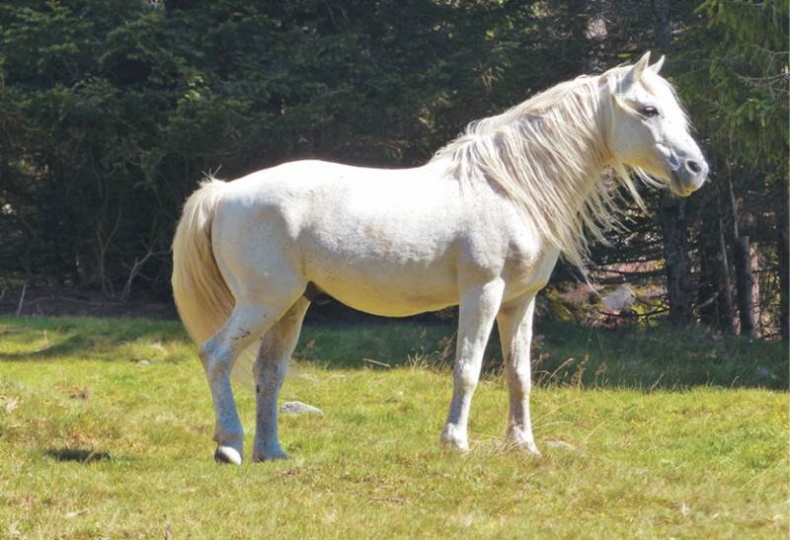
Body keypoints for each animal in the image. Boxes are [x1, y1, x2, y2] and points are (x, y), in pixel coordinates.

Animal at [172, 52, 708, 464]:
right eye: (648, 109)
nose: (696, 169)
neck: (509, 187)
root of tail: (224, 192)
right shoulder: (483, 293)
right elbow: (467, 369)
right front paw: (455, 444)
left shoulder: (520, 302)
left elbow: (519, 375)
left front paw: (524, 447)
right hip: (263, 302)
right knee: (216, 356)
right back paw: (230, 447)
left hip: (292, 306)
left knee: (268, 375)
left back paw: (272, 454)